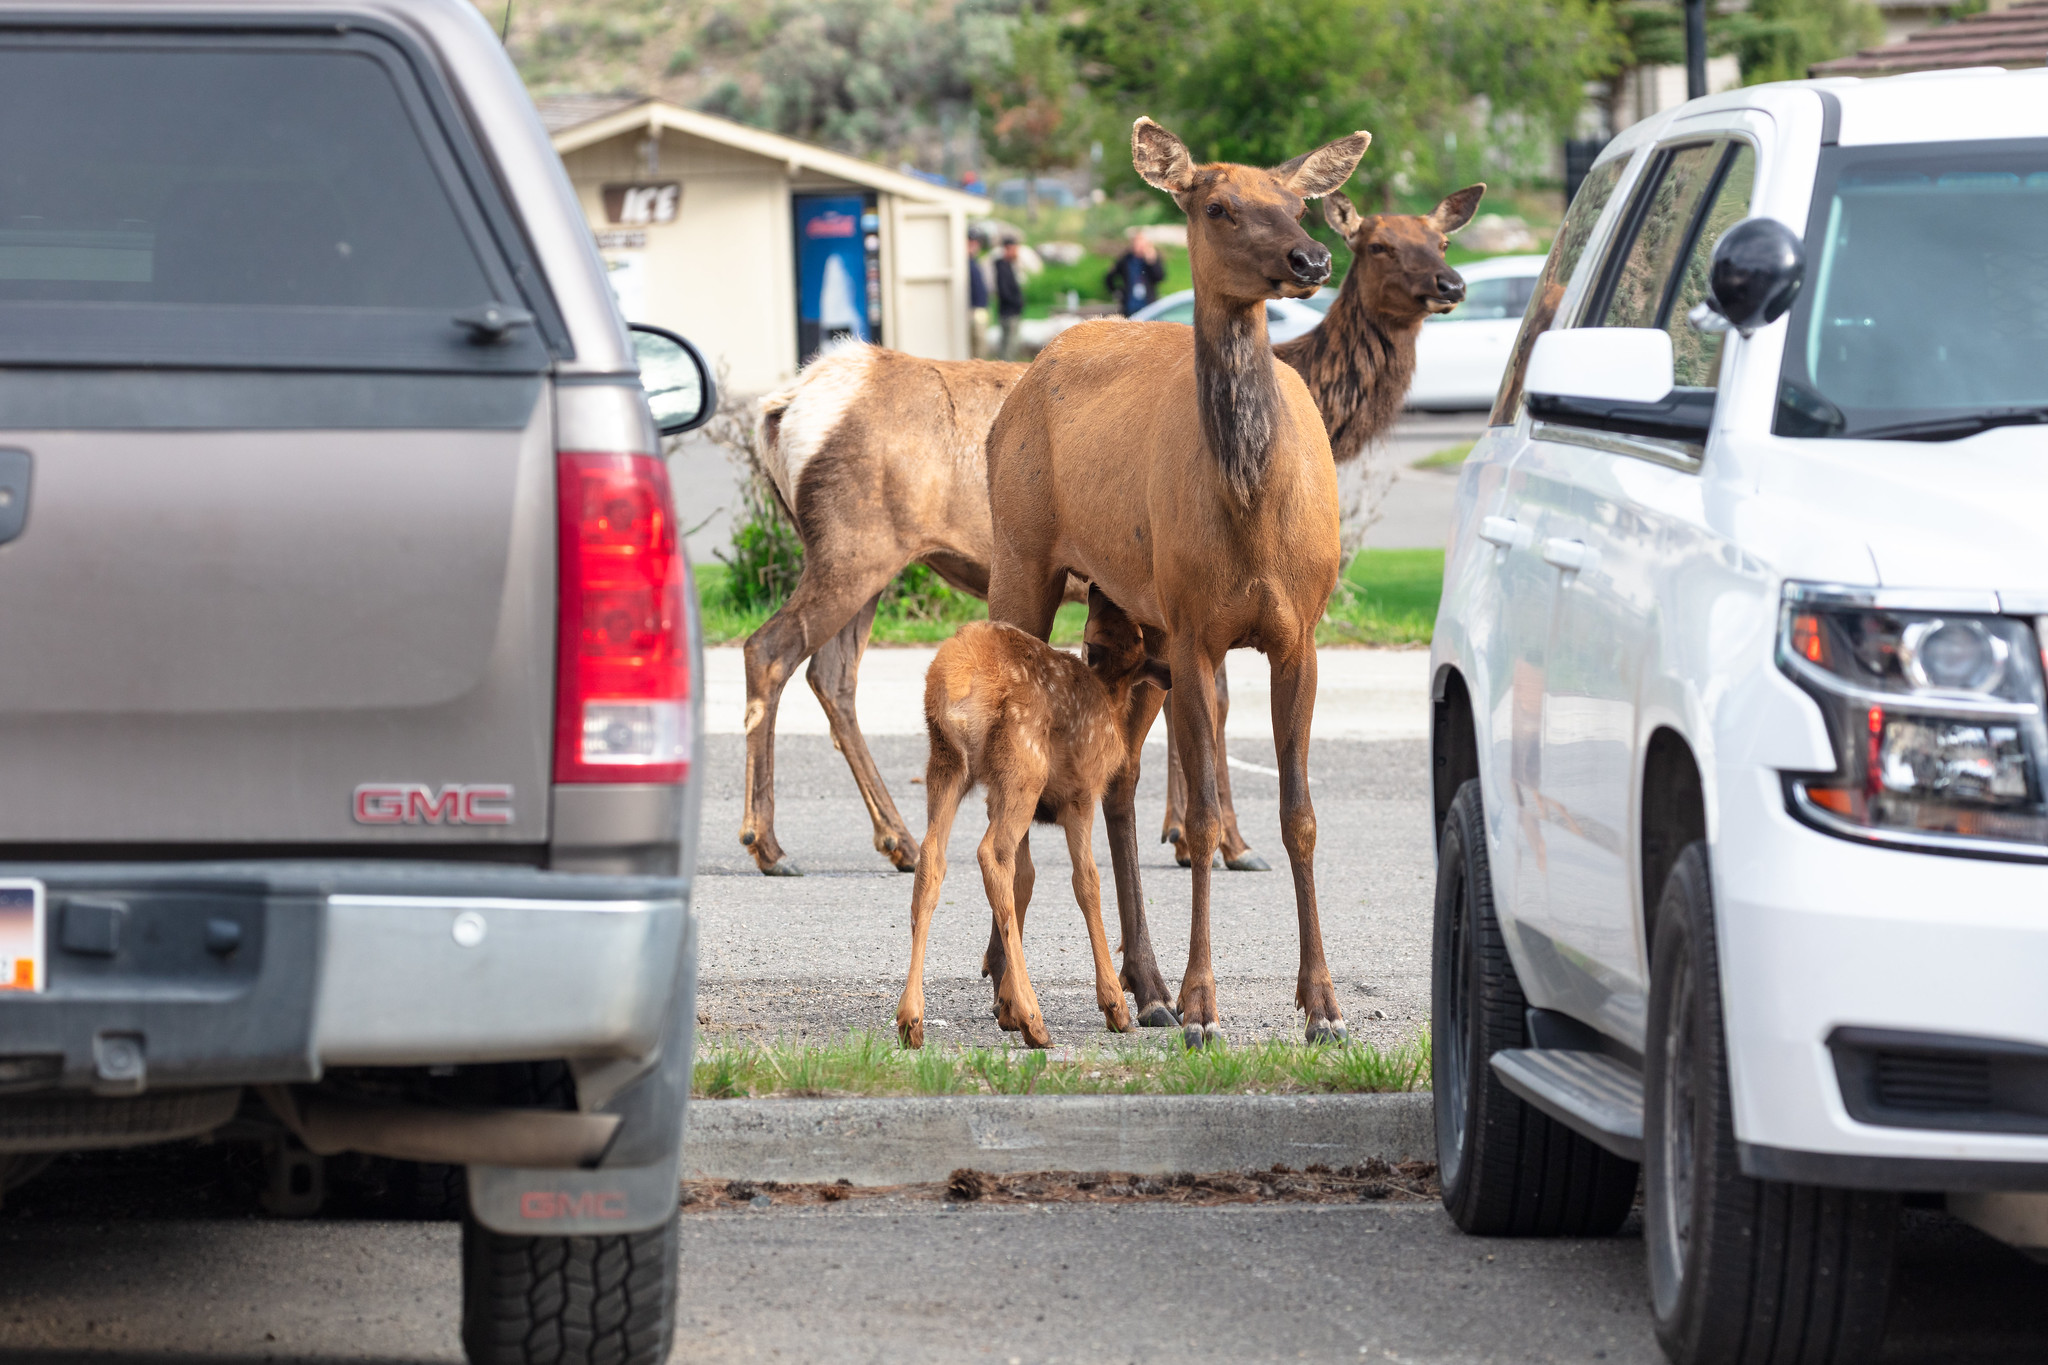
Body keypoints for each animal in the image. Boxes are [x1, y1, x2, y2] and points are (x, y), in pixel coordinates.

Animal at [897, 593, 1171, 1055]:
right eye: (1134, 635)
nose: (1097, 589)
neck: (1108, 698)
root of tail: (955, 679)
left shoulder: (995, 797)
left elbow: (1025, 879)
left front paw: (1005, 1005)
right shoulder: (1082, 794)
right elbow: (1087, 881)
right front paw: (1114, 1005)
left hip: (950, 765)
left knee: (934, 858)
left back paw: (910, 1019)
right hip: (1023, 764)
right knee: (991, 855)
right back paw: (1035, 1020)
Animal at [983, 122, 1368, 1055]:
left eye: (1297, 201)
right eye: (1217, 204)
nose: (1310, 259)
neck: (1252, 515)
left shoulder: (1297, 634)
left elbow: (1299, 815)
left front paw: (1322, 1002)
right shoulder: (1197, 631)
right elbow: (1198, 823)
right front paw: (1203, 1005)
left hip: (1128, 617)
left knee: (1116, 782)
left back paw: (1141, 985)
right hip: (1024, 559)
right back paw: (1011, 987)